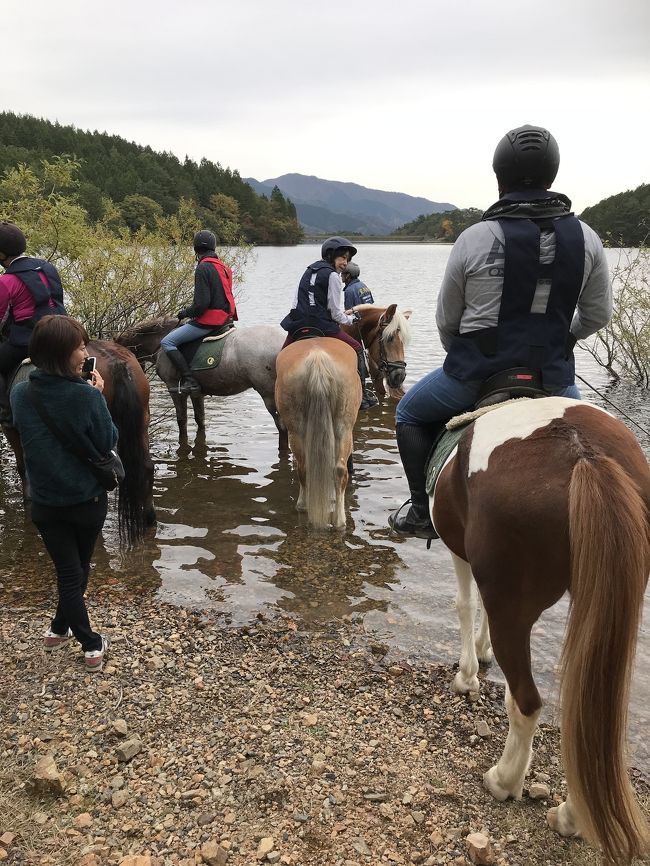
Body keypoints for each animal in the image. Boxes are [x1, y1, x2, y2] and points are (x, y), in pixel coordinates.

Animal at [2, 340, 155, 548]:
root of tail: (115, 361)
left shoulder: (12, 430)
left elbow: (24, 470)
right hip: (141, 422)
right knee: (146, 468)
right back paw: (150, 519)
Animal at [430, 394, 648, 860]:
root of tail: (582, 453)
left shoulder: (460, 553)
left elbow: (465, 604)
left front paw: (467, 676)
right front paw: (481, 654)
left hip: (514, 607)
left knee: (526, 703)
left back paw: (504, 781)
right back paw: (572, 816)